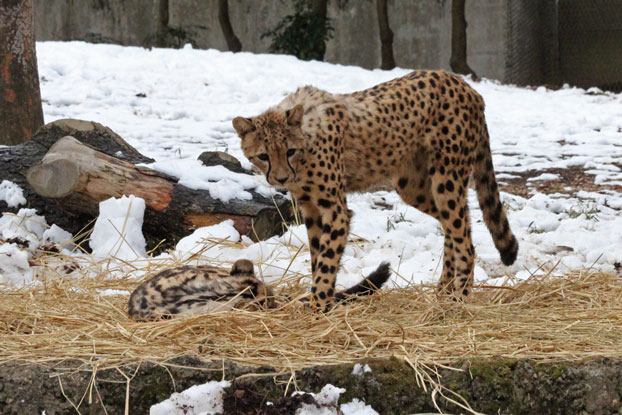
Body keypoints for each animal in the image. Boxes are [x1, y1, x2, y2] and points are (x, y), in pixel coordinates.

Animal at [233, 70, 516, 312]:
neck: (307, 139)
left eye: (290, 151)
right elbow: (317, 258)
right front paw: (321, 302)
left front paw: (320, 308)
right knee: (458, 226)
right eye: (263, 156)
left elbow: (326, 261)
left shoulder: (336, 212)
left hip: (446, 178)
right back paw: (444, 289)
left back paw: (459, 297)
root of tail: (465, 85)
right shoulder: (311, 210)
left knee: (464, 238)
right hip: (412, 186)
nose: (281, 178)